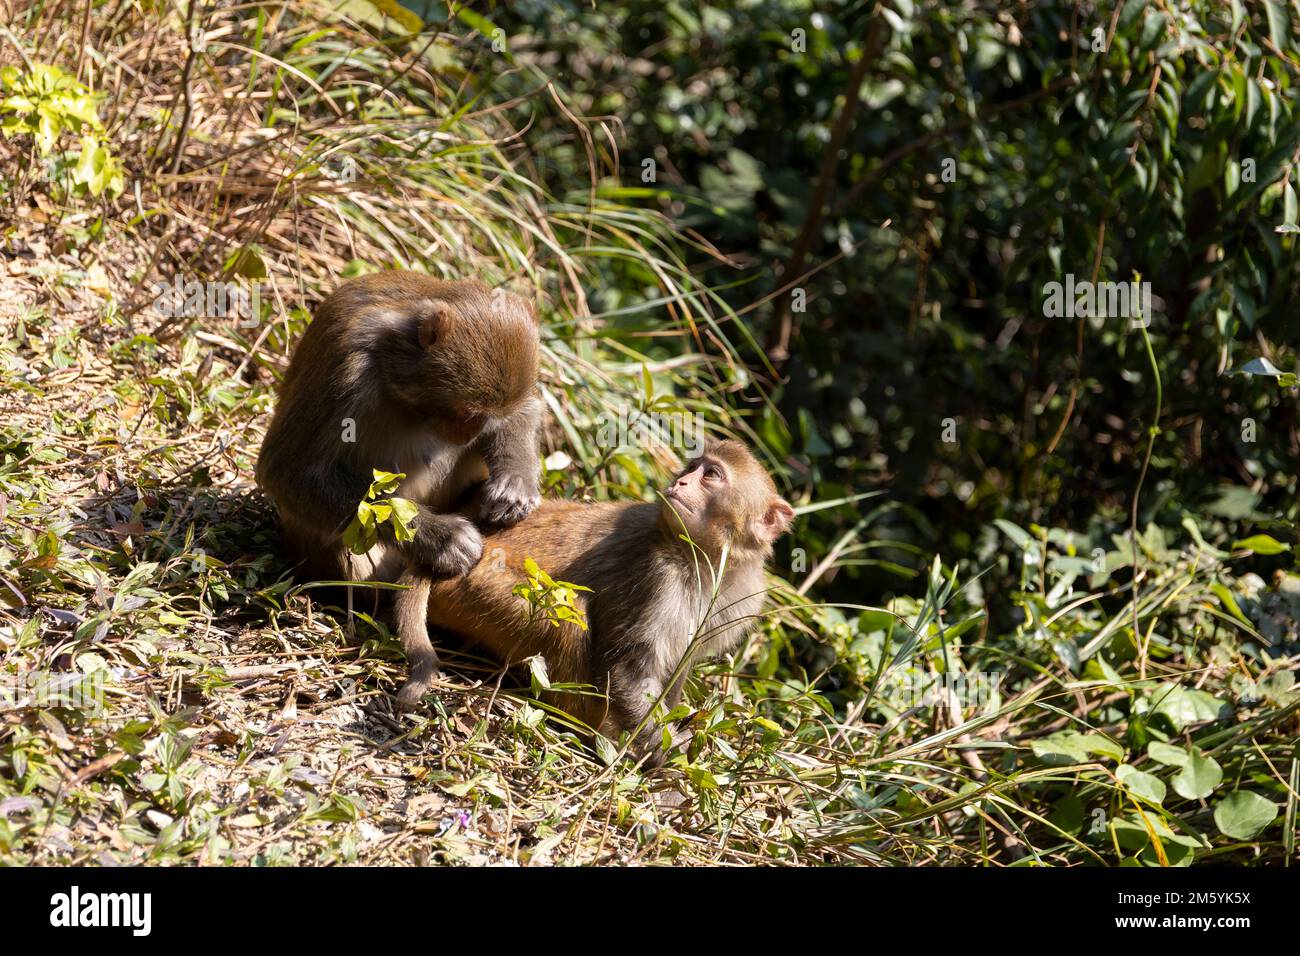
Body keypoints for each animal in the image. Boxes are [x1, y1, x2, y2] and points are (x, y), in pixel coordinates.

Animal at [255, 272, 544, 703]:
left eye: (485, 416)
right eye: (467, 413)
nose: (468, 433)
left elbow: (525, 407)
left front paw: (514, 484)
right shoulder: (347, 367)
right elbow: (289, 470)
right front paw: (442, 539)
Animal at [392, 438, 794, 764]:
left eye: (711, 474)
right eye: (691, 468)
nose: (680, 482)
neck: (707, 561)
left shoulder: (740, 601)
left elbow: (678, 665)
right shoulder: (658, 577)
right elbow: (628, 670)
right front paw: (662, 750)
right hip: (471, 589)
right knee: (568, 617)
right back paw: (585, 729)